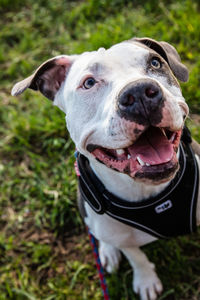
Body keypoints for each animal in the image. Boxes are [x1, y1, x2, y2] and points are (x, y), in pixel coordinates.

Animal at [10, 37, 200, 300]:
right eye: (89, 83)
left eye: (154, 63)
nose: (139, 92)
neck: (148, 193)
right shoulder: (122, 238)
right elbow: (135, 256)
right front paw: (146, 279)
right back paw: (108, 252)